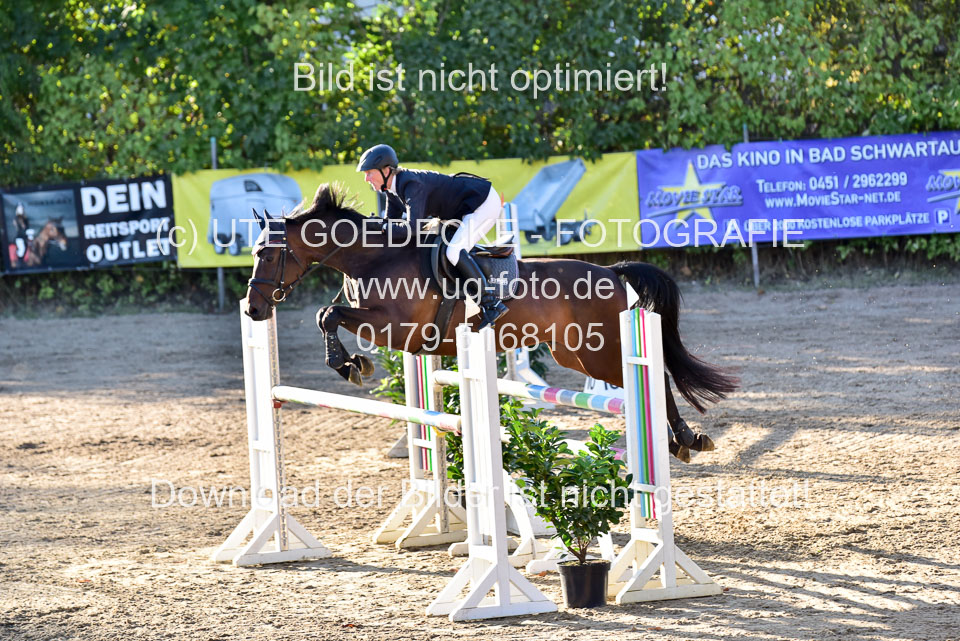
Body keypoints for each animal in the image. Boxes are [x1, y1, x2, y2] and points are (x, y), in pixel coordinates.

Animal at [244, 183, 738, 460]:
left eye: (266, 252)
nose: (252, 308)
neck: (374, 259)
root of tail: (612, 273)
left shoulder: (397, 328)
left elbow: (329, 313)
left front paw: (351, 365)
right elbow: (324, 314)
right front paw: (350, 364)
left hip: (600, 351)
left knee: (655, 379)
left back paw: (686, 439)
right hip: (575, 354)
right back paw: (682, 440)